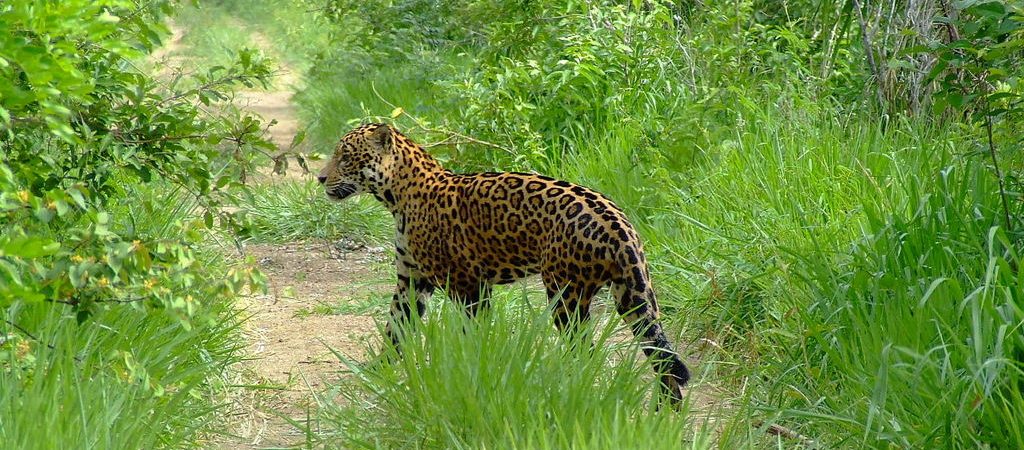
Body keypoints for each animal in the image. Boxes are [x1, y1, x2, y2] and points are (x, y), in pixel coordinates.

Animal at [317, 123, 690, 403]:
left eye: (345, 157)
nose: (320, 178)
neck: (397, 196)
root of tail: (620, 226)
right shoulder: (411, 280)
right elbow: (395, 328)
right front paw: (376, 371)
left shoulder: (467, 284)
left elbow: (473, 334)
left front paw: (473, 370)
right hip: (634, 295)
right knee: (659, 354)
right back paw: (666, 412)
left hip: (566, 295)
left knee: (586, 349)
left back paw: (573, 384)